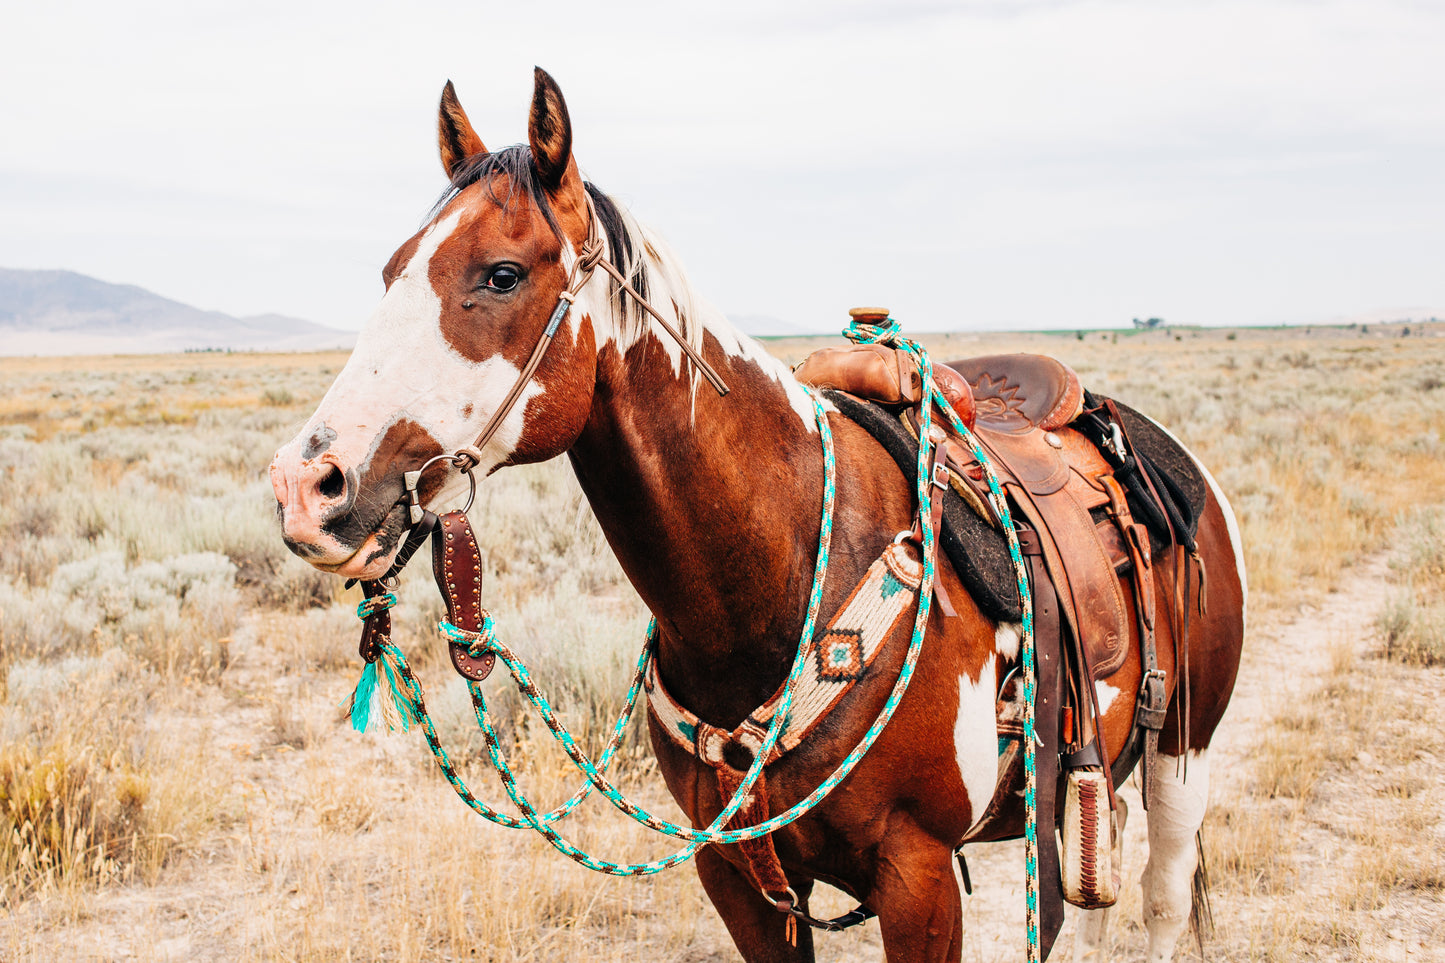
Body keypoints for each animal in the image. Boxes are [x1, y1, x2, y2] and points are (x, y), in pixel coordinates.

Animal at [268, 69, 1242, 960]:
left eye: (501, 274)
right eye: (389, 272)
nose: (308, 484)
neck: (784, 568)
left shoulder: (919, 875)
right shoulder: (736, 873)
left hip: (1180, 754)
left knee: (1160, 897)